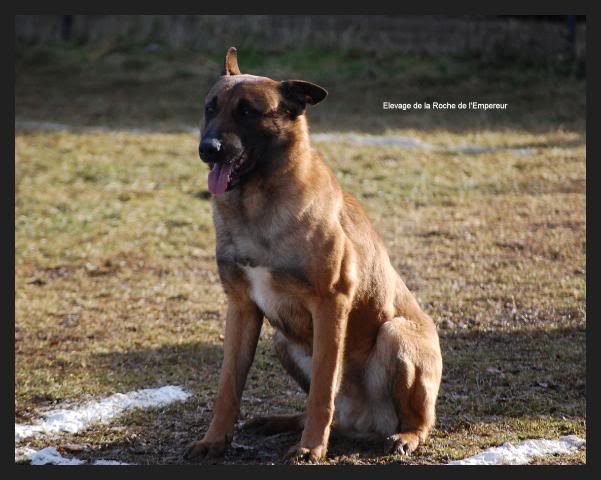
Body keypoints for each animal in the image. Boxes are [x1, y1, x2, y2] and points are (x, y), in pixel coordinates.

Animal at [185, 47, 442, 462]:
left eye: (247, 112)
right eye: (210, 108)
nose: (207, 149)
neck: (257, 204)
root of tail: (364, 422)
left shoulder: (330, 304)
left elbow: (323, 387)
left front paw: (311, 448)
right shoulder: (241, 308)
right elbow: (228, 386)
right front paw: (215, 440)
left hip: (396, 334)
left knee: (418, 419)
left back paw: (405, 436)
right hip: (281, 341)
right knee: (321, 410)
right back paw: (284, 422)